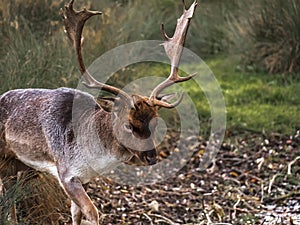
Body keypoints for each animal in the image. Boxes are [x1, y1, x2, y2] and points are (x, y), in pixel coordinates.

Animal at [0, 0, 198, 224]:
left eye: (156, 122)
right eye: (128, 125)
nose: (151, 157)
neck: (92, 157)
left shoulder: (84, 177)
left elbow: (76, 213)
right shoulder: (66, 173)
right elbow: (92, 212)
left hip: (18, 165)